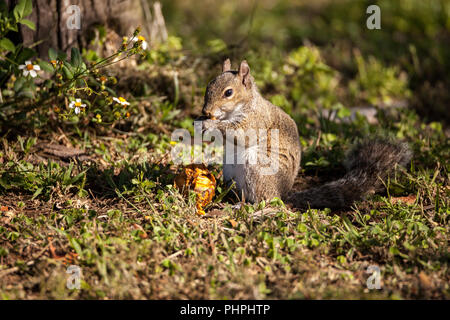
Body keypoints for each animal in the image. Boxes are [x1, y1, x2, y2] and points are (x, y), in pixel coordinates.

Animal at [200, 59, 412, 210]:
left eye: (228, 93)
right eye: (208, 87)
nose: (206, 111)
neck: (242, 107)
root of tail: (283, 193)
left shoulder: (258, 119)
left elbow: (243, 134)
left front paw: (211, 124)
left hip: (258, 169)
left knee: (265, 199)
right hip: (230, 170)